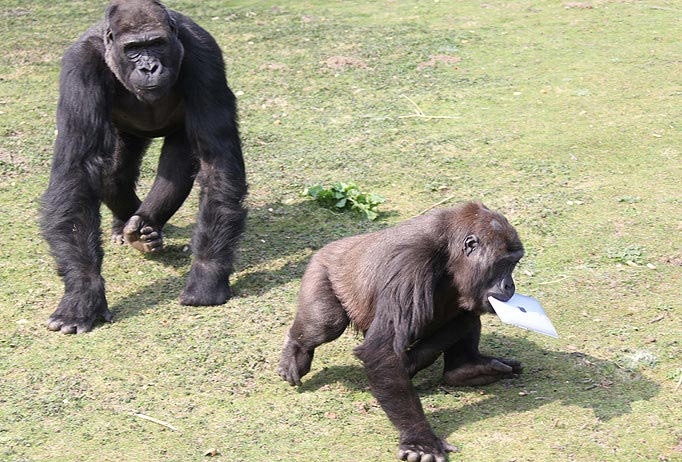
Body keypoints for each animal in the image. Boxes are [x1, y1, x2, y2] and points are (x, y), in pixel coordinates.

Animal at [40, 0, 247, 332]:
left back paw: (146, 227)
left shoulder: (204, 55)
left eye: (157, 43)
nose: (149, 67)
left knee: (177, 165)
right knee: (114, 173)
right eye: (133, 49)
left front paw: (207, 273)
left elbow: (216, 162)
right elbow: (79, 170)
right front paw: (83, 291)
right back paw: (129, 226)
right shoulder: (79, 67)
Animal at [278, 203, 524, 462]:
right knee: (325, 324)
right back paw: (295, 349)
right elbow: (381, 350)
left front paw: (415, 362)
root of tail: (333, 245)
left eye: (514, 263)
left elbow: (465, 316)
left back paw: (466, 368)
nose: (510, 286)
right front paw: (420, 440)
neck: (449, 247)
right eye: (503, 264)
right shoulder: (411, 263)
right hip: (321, 266)